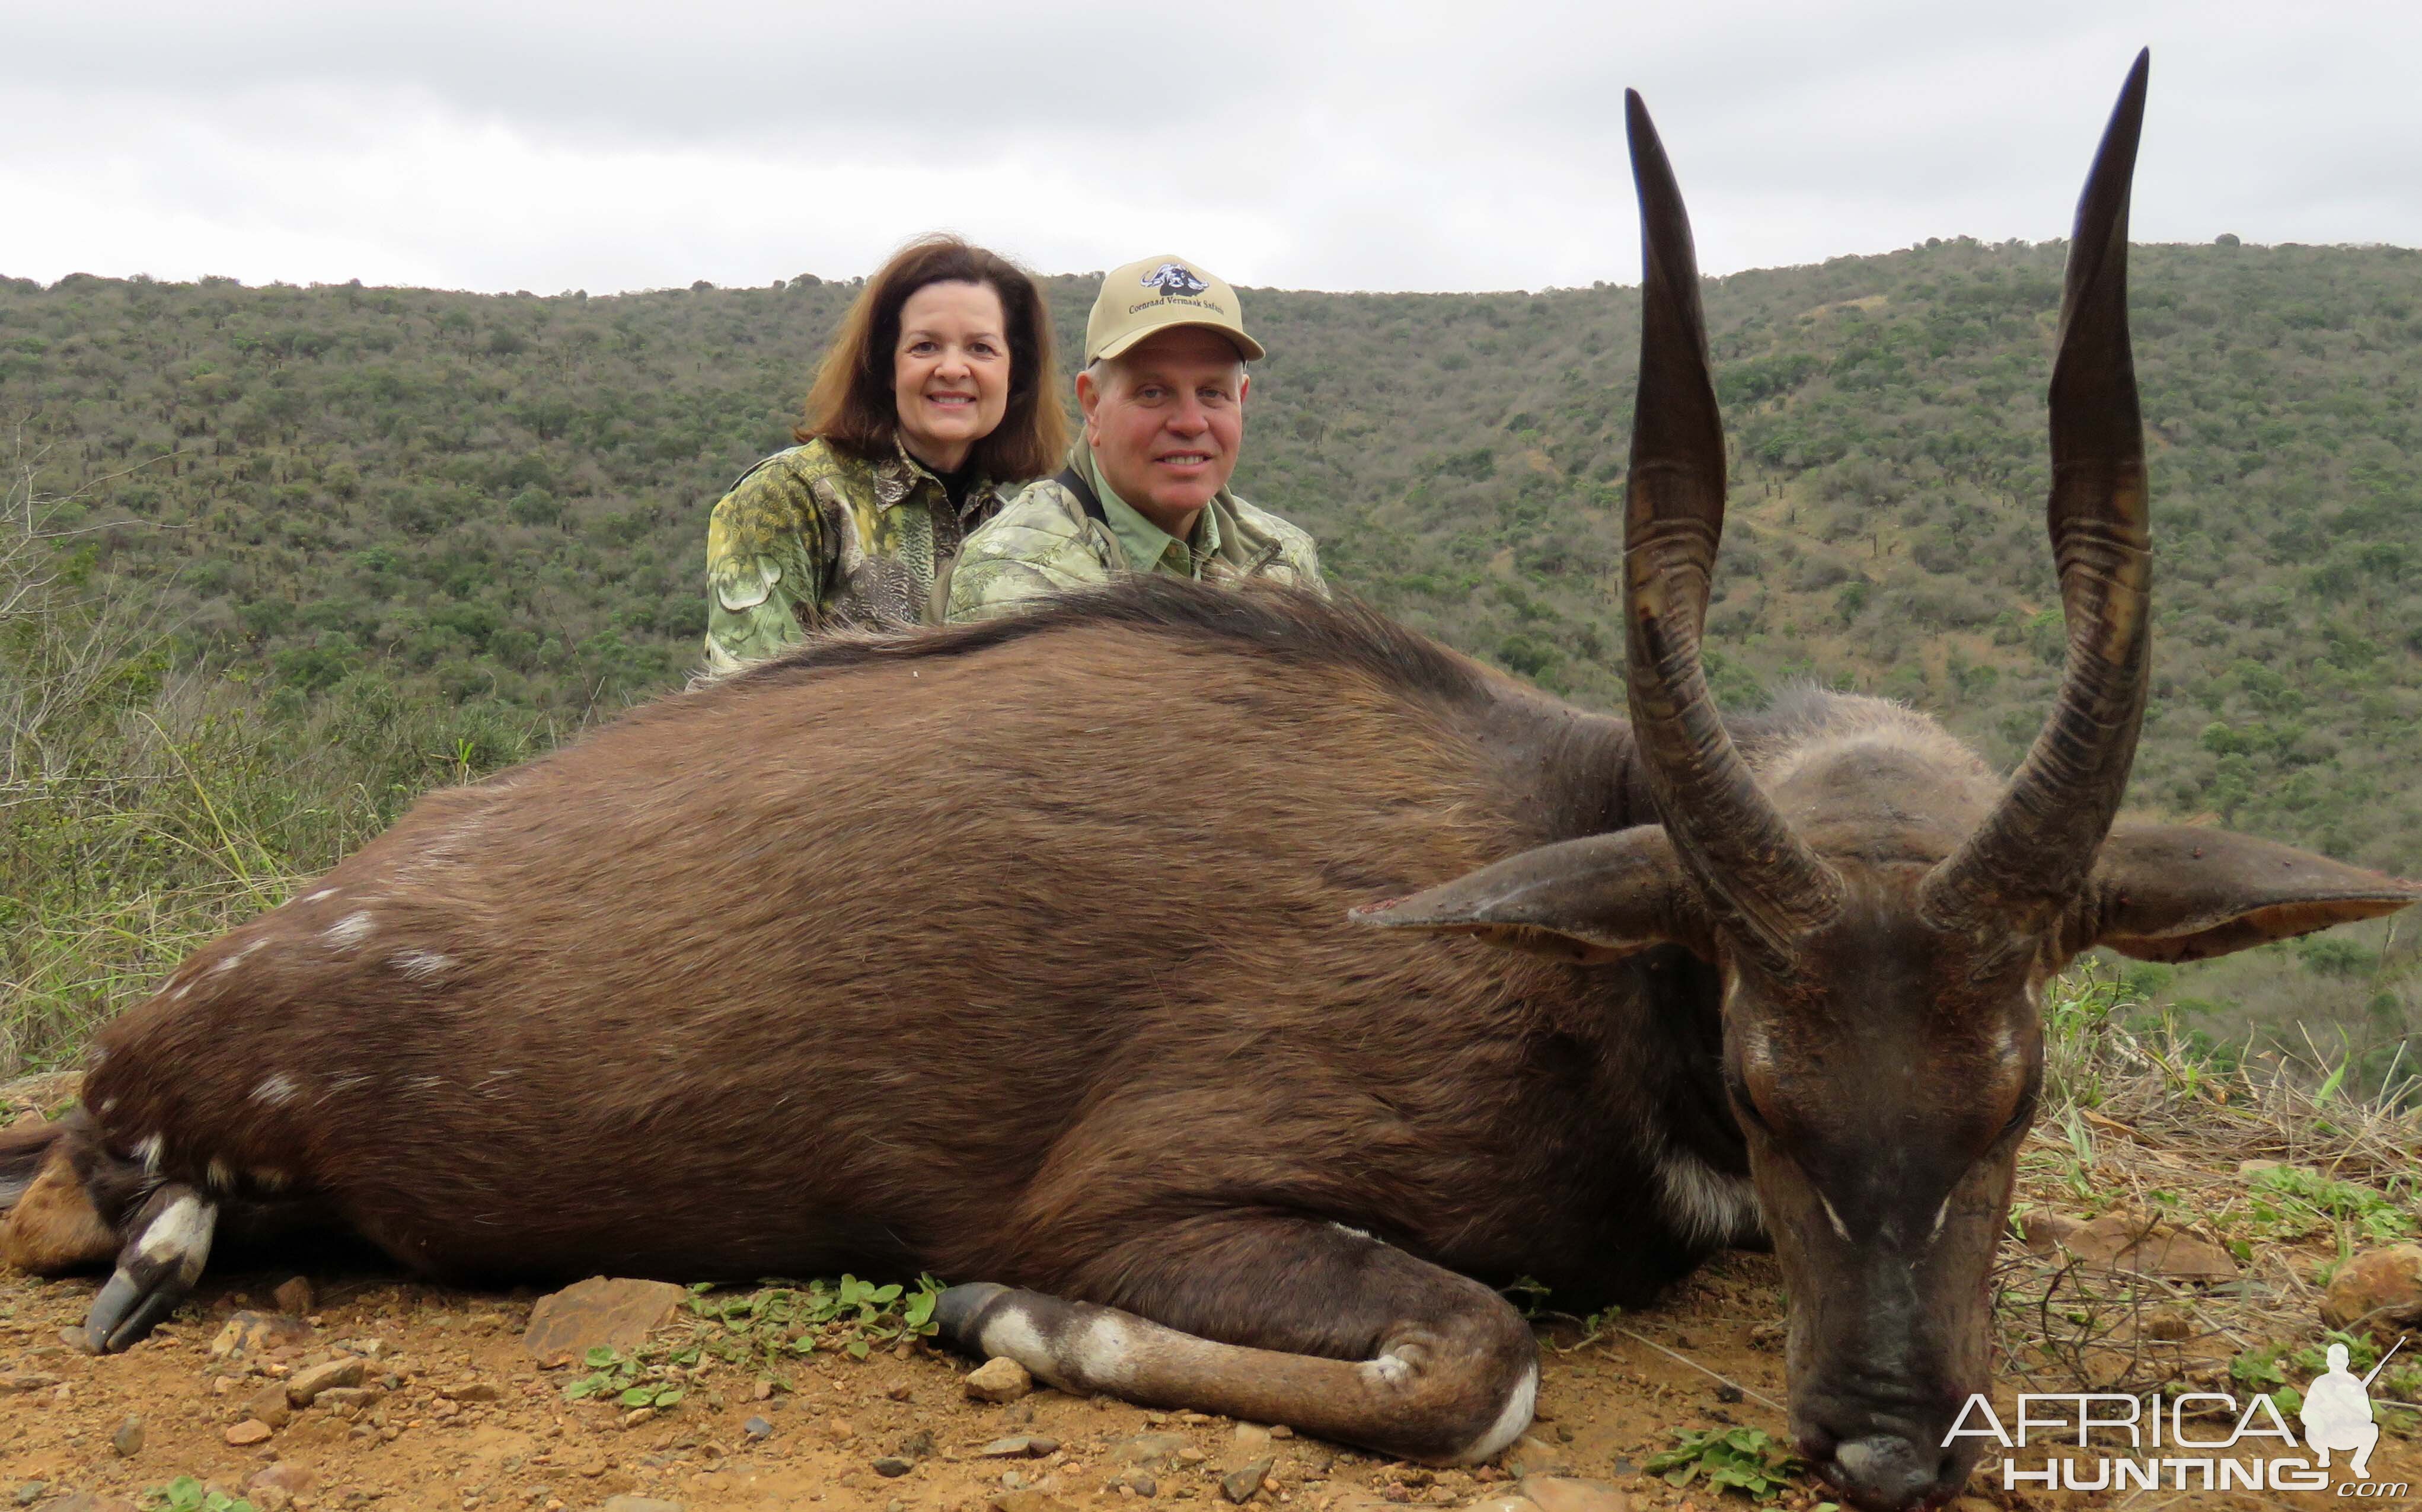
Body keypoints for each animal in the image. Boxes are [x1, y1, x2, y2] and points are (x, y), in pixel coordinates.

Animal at [0, 47, 2412, 1512]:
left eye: (2017, 1087)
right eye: (1765, 1073)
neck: (1573, 926)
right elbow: (1470, 1354)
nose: (1892, 1443)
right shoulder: (1148, 1191)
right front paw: (996, 1317)